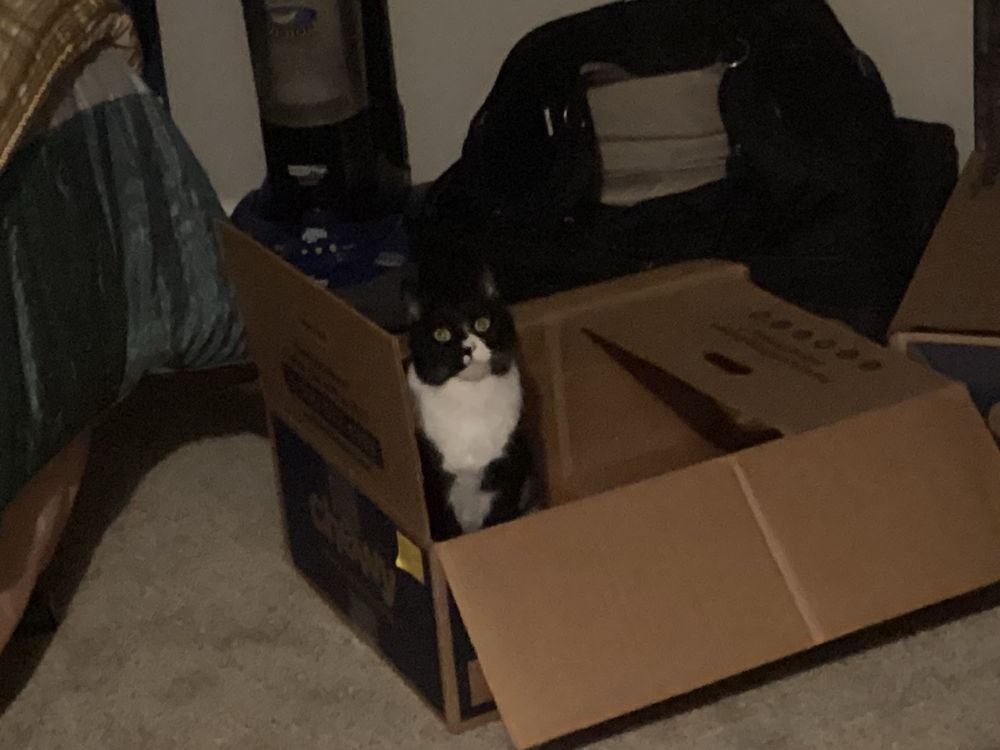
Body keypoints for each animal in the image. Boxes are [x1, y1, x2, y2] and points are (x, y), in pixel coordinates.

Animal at [404, 265, 535, 540]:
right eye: (441, 334)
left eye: (482, 323)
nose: (469, 348)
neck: (471, 399)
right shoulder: (433, 489)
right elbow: (447, 529)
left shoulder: (508, 472)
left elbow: (499, 517)